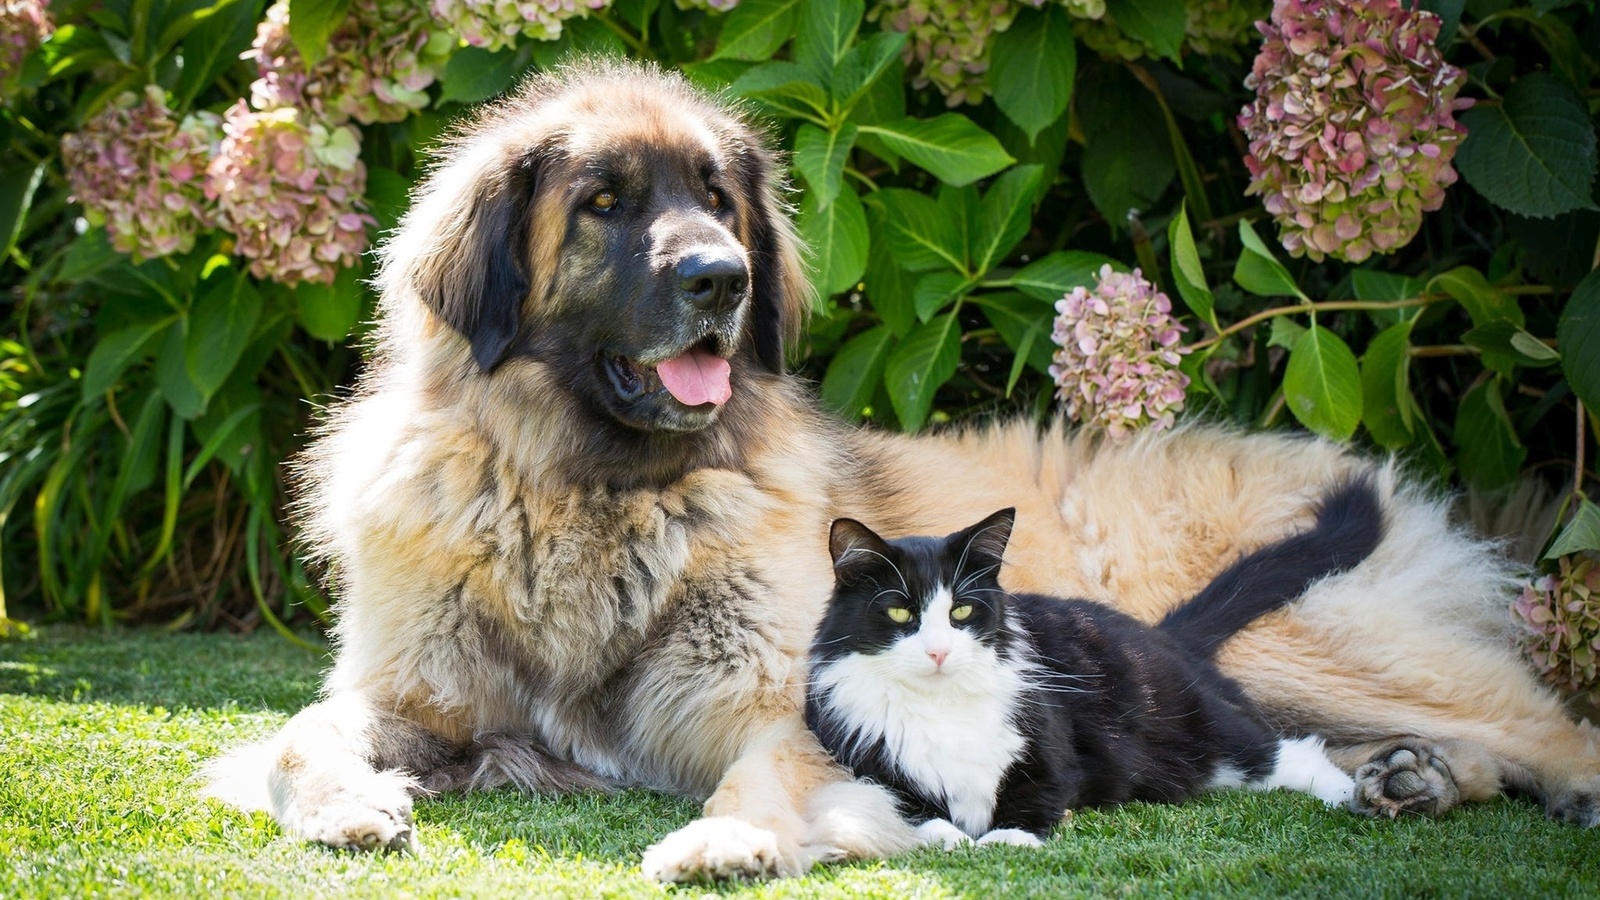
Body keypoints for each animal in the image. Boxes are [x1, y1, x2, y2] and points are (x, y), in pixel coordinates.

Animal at [806, 480, 1382, 845]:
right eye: (900, 612)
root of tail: (1155, 633)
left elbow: (1035, 794)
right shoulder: (867, 763)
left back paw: (1361, 794)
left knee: (1290, 751)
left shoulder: (1051, 747)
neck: (940, 706)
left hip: (1198, 730)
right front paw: (952, 837)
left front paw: (1007, 840)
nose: (939, 651)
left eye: (962, 611)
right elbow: (916, 811)